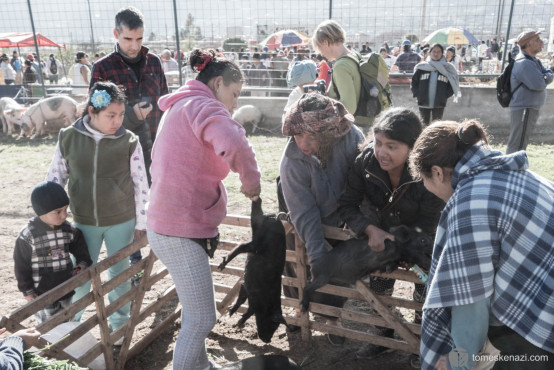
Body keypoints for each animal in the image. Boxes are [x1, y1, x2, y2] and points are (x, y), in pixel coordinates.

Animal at [217, 198, 288, 342]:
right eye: (273, 325)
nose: (268, 340)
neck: (268, 302)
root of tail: (274, 219)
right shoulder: (256, 299)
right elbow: (250, 310)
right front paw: (239, 322)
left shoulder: (245, 286)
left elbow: (242, 299)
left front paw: (231, 313)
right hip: (258, 243)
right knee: (241, 245)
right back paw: (223, 264)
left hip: (255, 223)